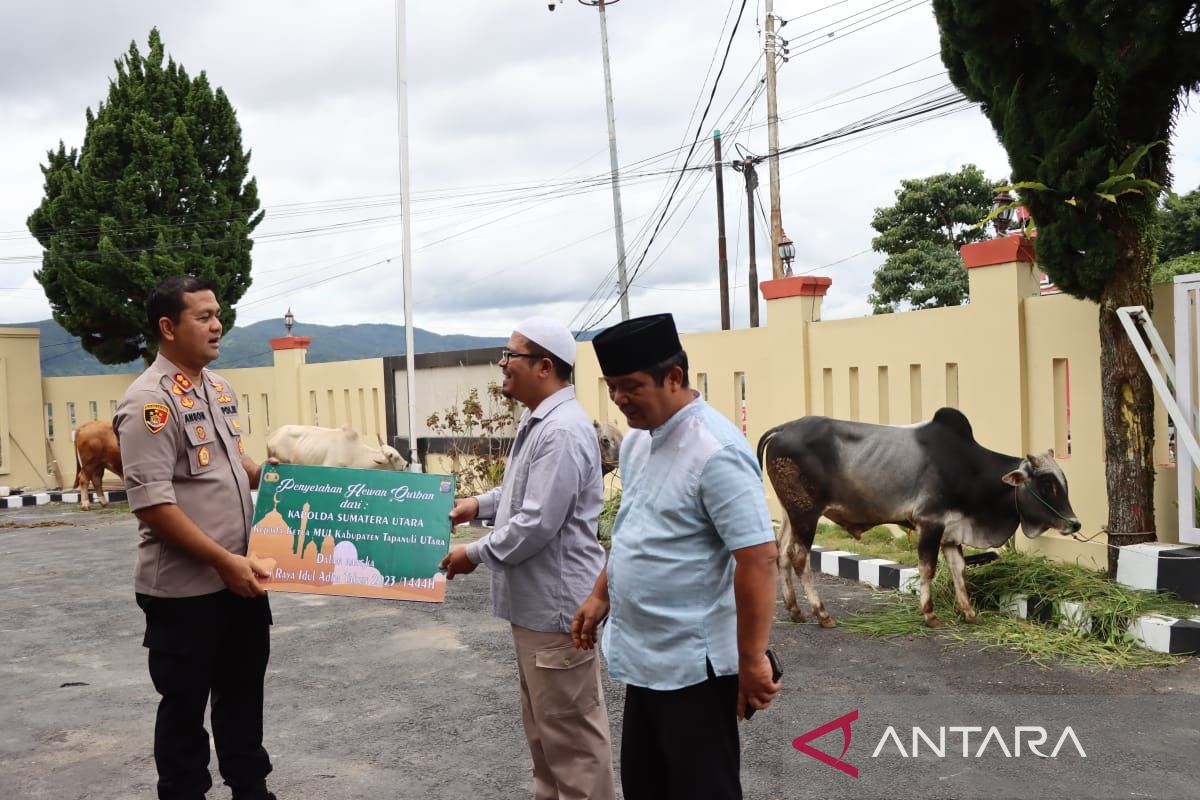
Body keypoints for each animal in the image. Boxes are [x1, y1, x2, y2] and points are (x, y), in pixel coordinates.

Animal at [753, 410, 1084, 628]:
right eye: (1047, 484)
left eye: (1064, 482)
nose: (1074, 523)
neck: (969, 469)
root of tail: (782, 429)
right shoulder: (930, 523)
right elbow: (928, 568)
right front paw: (929, 614)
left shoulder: (952, 532)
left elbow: (959, 570)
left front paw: (968, 612)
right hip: (806, 514)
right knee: (799, 556)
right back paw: (822, 614)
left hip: (790, 513)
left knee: (782, 554)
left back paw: (795, 611)